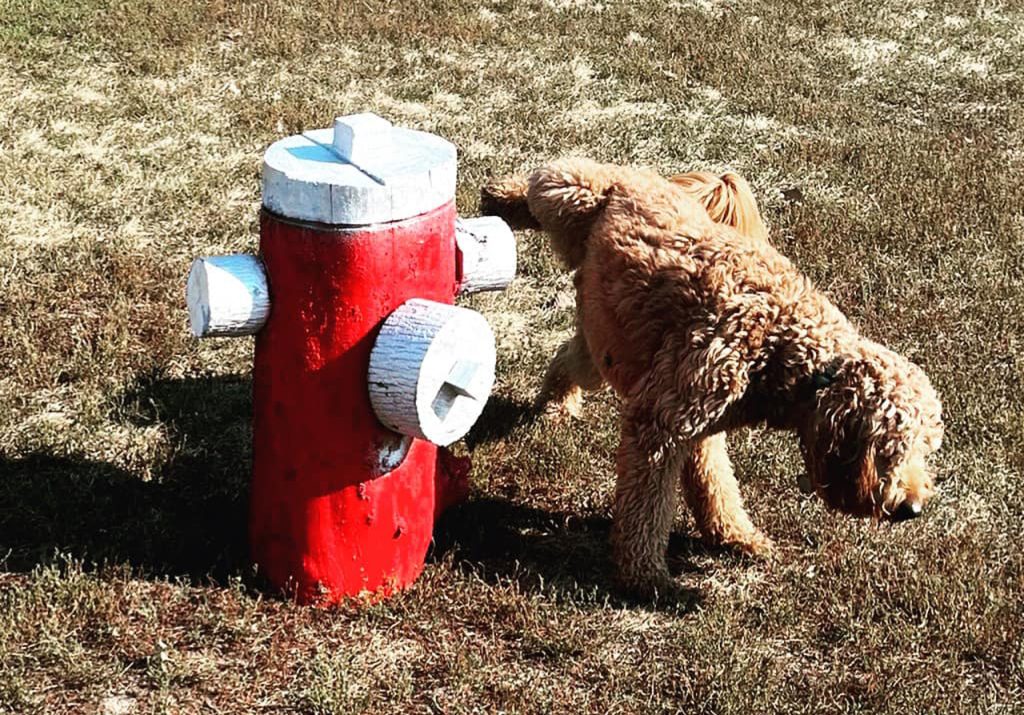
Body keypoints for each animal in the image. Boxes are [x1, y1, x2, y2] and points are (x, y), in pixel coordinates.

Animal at [479, 159, 942, 594]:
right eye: (891, 450)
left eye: (926, 449)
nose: (914, 508)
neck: (784, 344)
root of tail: (651, 179)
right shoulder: (662, 424)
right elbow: (647, 506)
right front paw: (644, 574)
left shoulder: (700, 425)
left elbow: (716, 485)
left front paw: (735, 535)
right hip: (572, 194)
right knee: (541, 182)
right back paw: (495, 198)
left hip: (605, 343)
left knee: (567, 357)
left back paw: (557, 403)